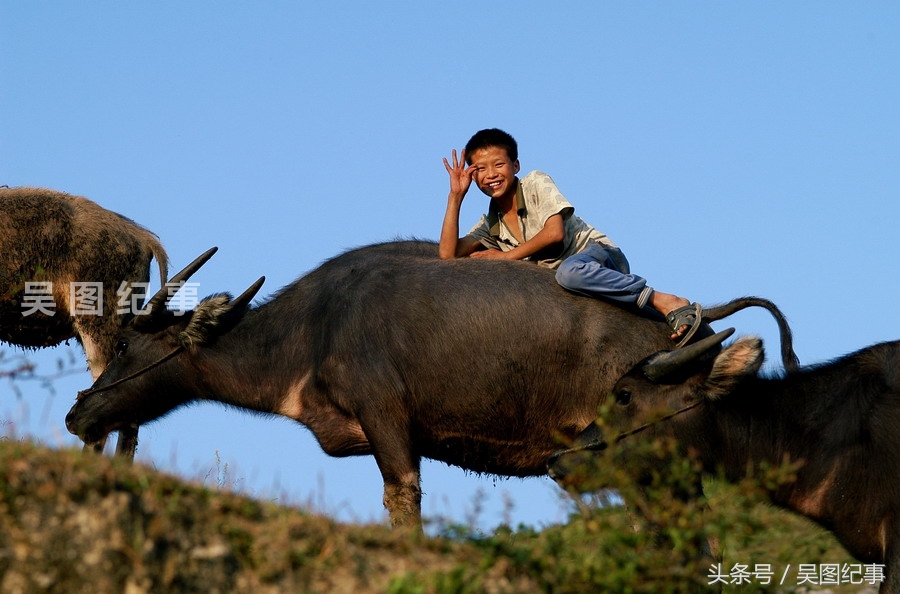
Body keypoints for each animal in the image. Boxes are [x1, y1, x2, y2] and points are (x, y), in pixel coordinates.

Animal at [63, 240, 796, 528]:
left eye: (125, 343)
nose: (77, 415)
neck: (313, 331)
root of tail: (690, 334)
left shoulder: (388, 422)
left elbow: (403, 503)